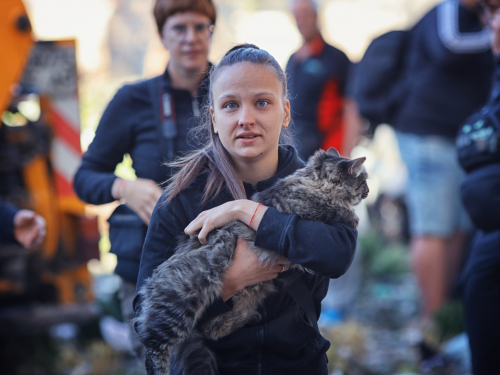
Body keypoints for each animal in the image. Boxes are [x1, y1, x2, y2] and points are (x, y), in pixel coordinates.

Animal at [135, 148, 370, 375]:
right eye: (363, 182)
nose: (368, 192)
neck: (311, 181)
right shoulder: (302, 211)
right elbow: (331, 209)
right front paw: (352, 216)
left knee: (214, 331)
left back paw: (251, 317)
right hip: (182, 301)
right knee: (153, 345)